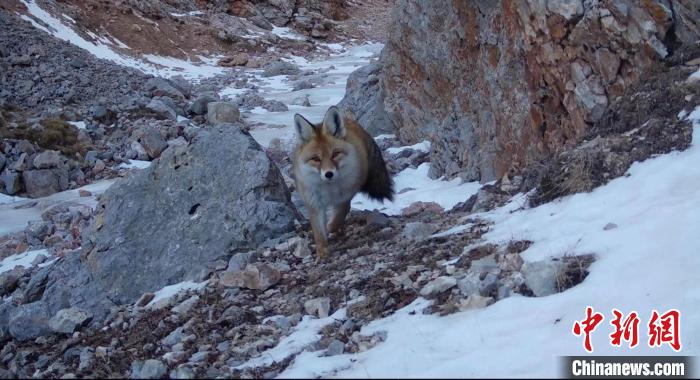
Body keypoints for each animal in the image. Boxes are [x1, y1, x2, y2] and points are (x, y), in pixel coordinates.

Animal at [292, 107, 394, 262]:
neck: (329, 190)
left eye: (335, 154)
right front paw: (322, 253)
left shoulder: (344, 198)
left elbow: (337, 219)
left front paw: (331, 228)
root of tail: (350, 121)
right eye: (316, 159)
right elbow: (319, 234)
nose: (328, 174)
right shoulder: (314, 203)